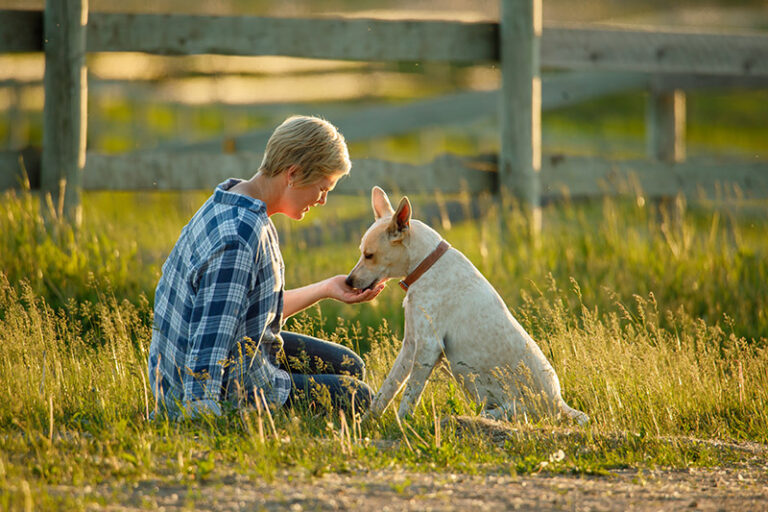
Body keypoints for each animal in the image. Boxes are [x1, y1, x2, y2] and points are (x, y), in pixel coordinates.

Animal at [348, 186, 588, 426]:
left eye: (369, 255)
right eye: (361, 251)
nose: (348, 282)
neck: (426, 264)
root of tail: (559, 405)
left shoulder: (428, 347)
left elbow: (409, 395)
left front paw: (402, 425)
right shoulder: (410, 345)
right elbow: (387, 390)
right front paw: (366, 423)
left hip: (509, 410)